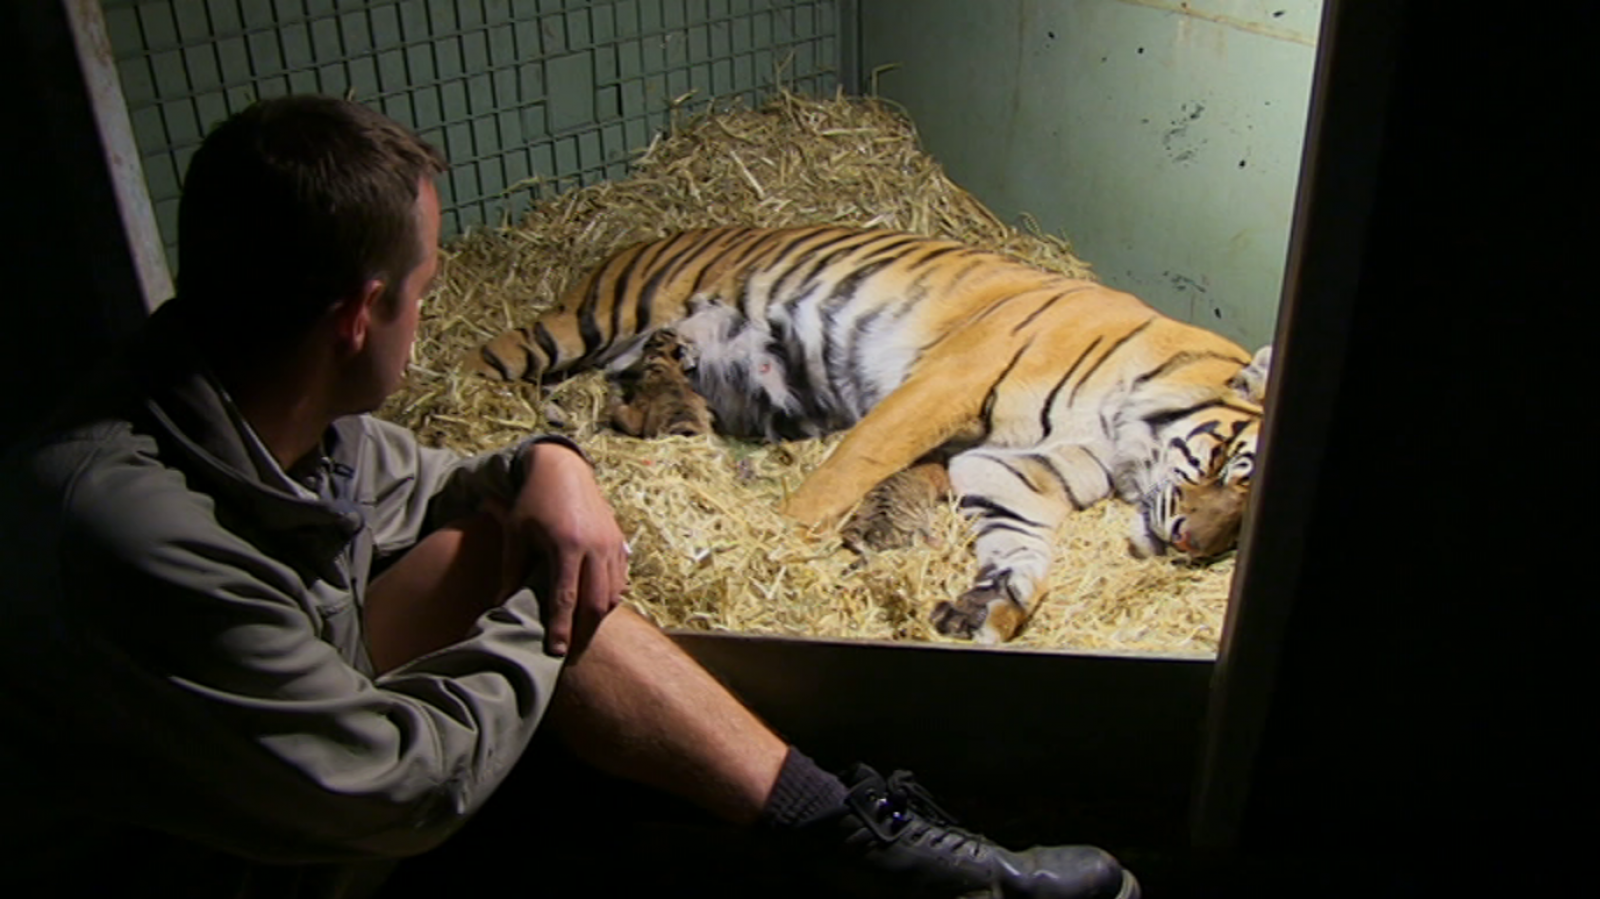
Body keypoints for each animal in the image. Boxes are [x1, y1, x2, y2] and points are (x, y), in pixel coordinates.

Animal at [472, 226, 1271, 643]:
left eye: (1241, 523)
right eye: (1227, 468)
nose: (1193, 544)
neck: (1123, 439)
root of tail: (631, 241)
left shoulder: (1013, 470)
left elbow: (1020, 550)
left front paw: (991, 608)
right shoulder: (949, 381)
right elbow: (856, 462)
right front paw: (778, 546)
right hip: (585, 324)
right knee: (482, 359)